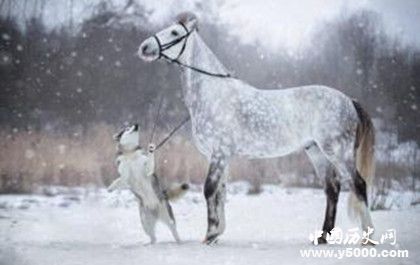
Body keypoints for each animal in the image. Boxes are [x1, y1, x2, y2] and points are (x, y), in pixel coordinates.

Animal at [139, 12, 376, 243]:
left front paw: (209, 235)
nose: (144, 47)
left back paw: (367, 238)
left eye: (175, 32)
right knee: (332, 188)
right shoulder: (216, 156)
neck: (214, 94)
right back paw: (322, 236)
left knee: (359, 184)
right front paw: (217, 233)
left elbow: (209, 189)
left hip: (338, 152)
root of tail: (349, 101)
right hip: (316, 151)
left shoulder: (220, 153)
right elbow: (220, 192)